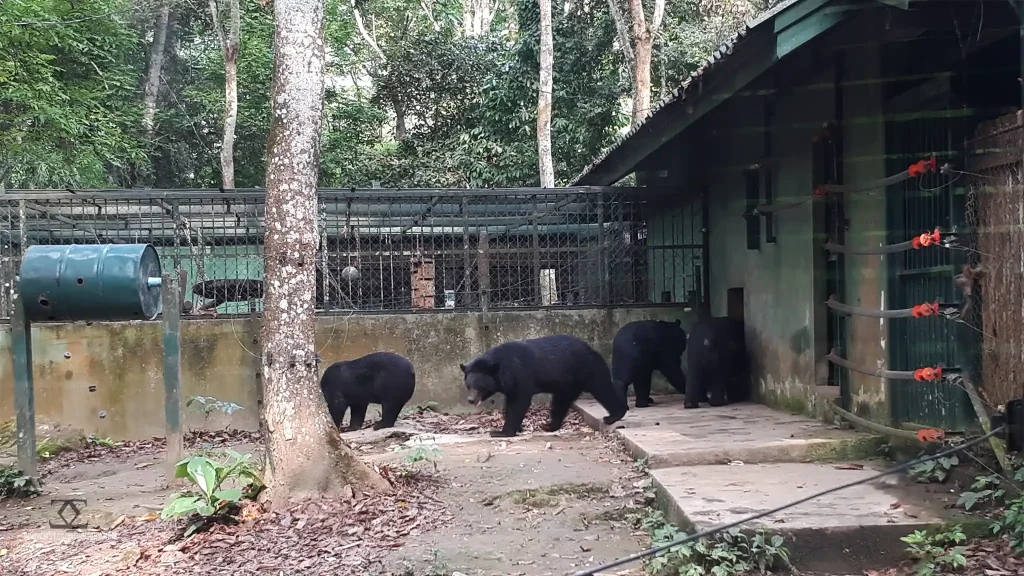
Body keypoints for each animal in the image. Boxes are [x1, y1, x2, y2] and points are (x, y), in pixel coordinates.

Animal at [459, 335, 628, 437]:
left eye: (479, 387)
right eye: (469, 385)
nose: (471, 400)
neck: (503, 368)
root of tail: (592, 349)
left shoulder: (521, 375)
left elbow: (519, 402)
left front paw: (501, 432)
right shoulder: (510, 383)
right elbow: (510, 402)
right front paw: (518, 427)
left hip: (587, 369)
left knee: (602, 388)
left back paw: (613, 416)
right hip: (568, 383)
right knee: (561, 402)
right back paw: (549, 425)